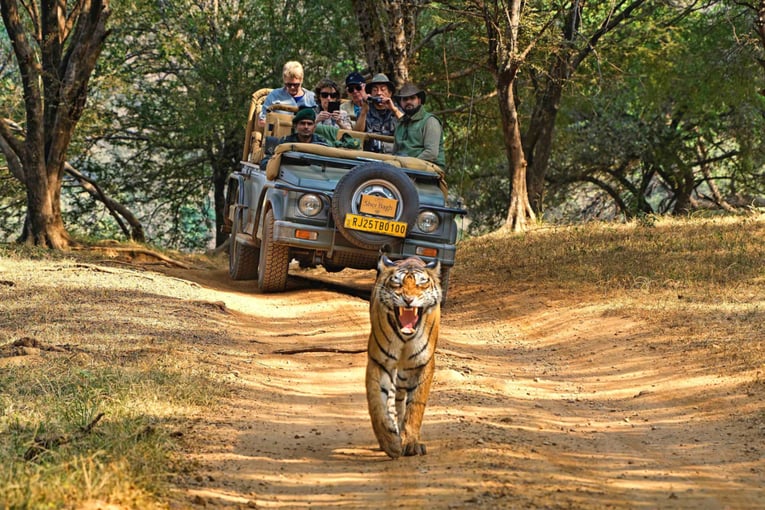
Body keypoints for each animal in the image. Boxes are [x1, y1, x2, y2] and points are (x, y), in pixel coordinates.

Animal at [364, 255, 442, 458]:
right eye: (397, 283)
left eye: (421, 283)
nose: (408, 299)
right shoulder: (379, 361)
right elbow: (377, 403)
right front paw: (390, 443)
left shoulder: (424, 364)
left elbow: (415, 406)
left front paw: (411, 442)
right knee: (395, 400)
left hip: (406, 371)